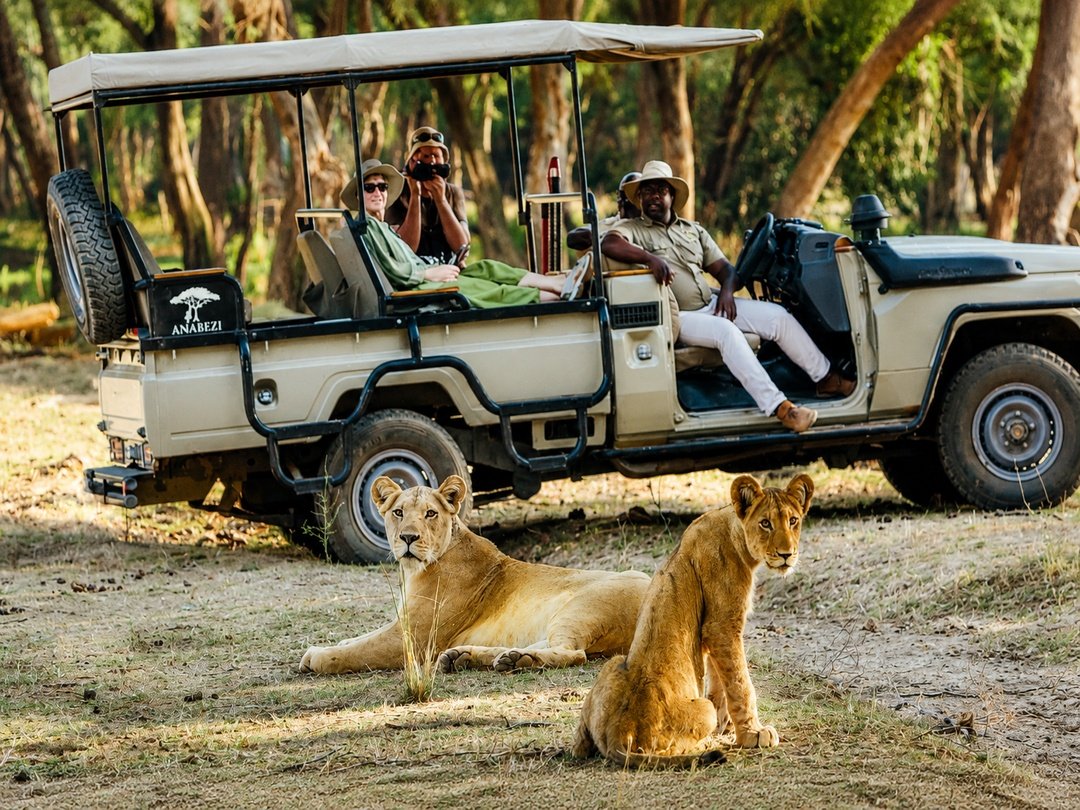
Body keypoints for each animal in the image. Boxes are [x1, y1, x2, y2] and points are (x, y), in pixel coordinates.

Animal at [299, 474, 651, 675]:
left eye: (430, 513)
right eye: (398, 512)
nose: (408, 538)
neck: (415, 570)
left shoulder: (414, 640)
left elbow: (358, 651)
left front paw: (316, 656)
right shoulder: (403, 623)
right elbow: (361, 638)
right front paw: (337, 641)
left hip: (580, 608)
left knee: (574, 653)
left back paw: (517, 661)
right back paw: (474, 657)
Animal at [572, 472, 814, 768]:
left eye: (793, 521)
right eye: (765, 523)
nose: (786, 554)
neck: (735, 534)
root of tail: (619, 734)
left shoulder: (714, 631)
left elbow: (720, 677)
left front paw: (728, 725)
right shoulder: (722, 625)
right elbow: (740, 682)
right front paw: (753, 733)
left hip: (614, 664)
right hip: (698, 712)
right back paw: (705, 745)